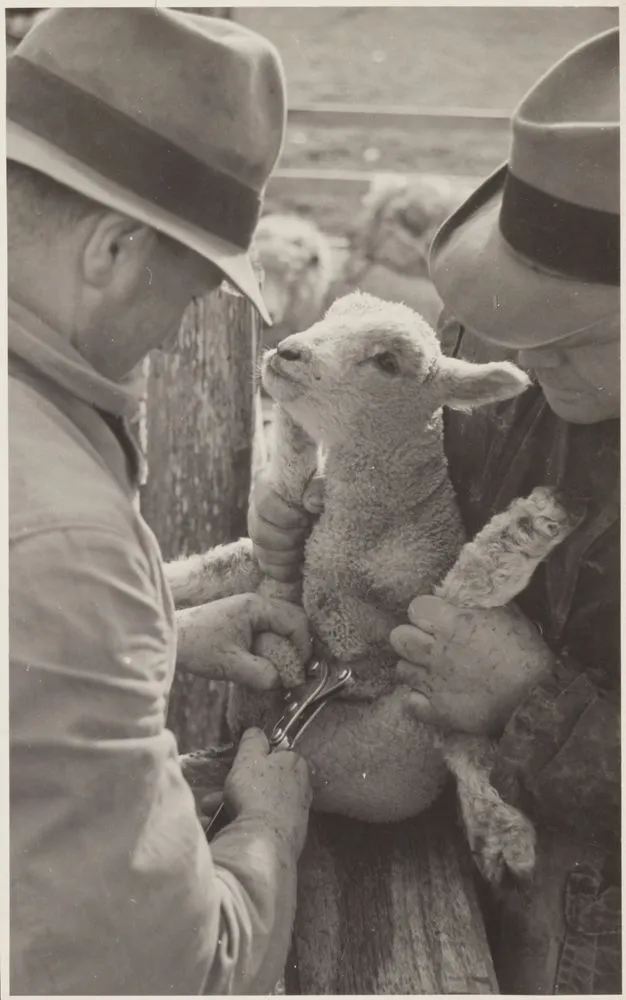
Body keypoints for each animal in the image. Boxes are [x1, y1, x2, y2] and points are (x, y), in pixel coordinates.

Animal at [170, 292, 580, 884]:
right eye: (331, 314)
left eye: (387, 362)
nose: (288, 352)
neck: (363, 539)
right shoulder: (298, 572)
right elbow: (228, 565)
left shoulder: (413, 646)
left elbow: (465, 594)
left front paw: (532, 525)